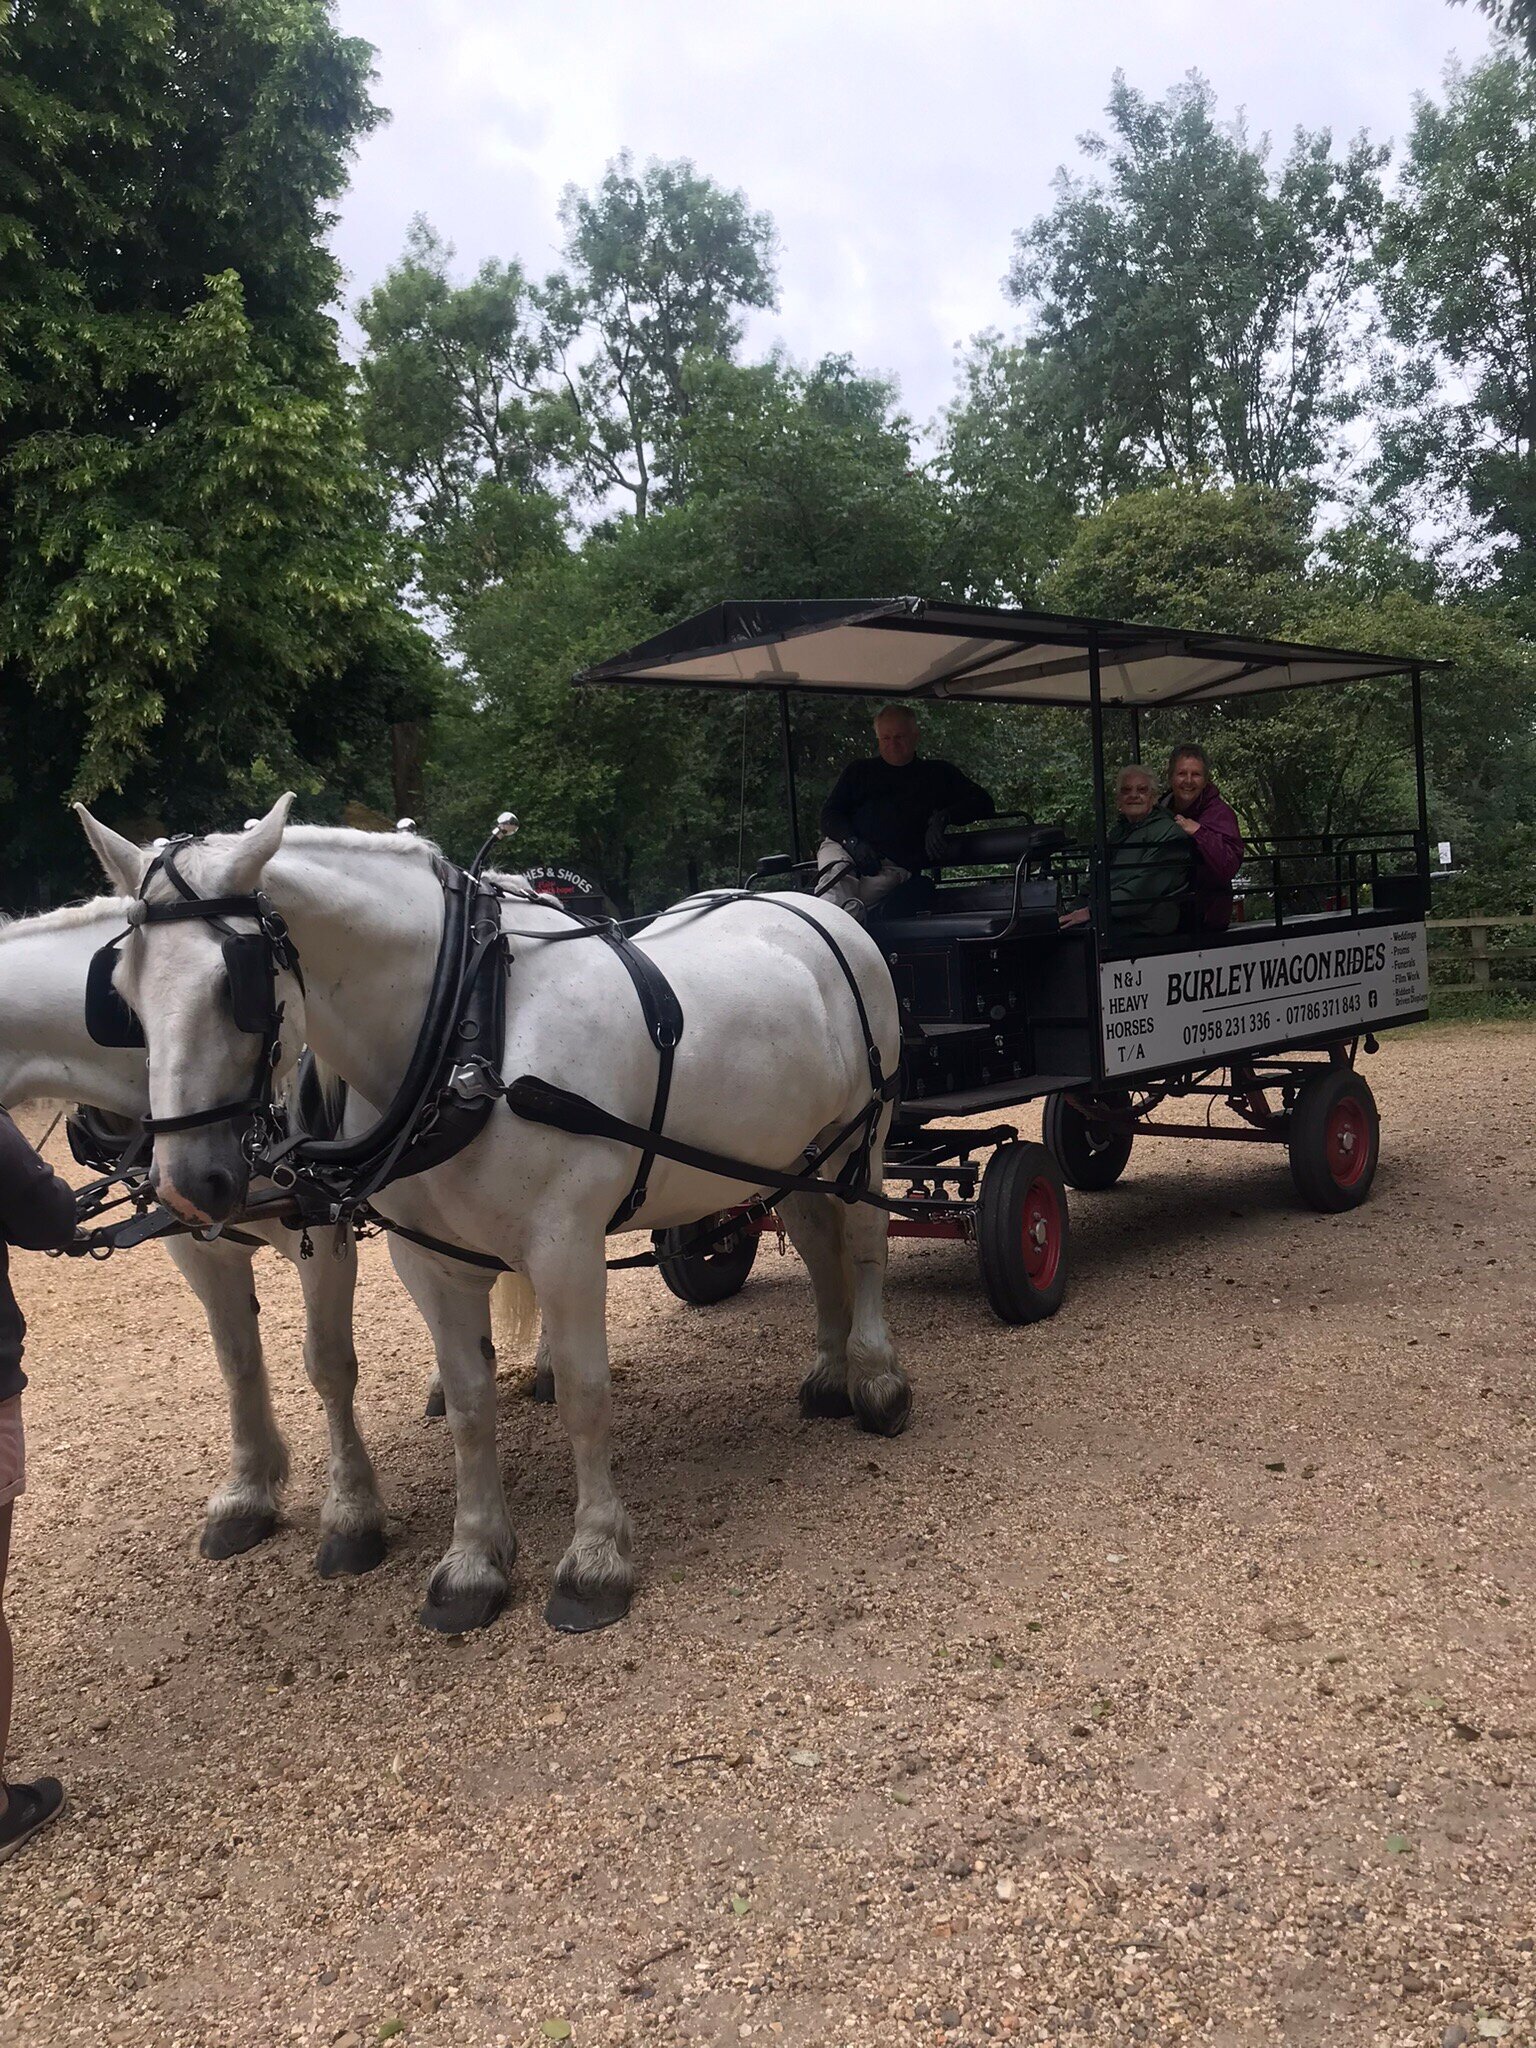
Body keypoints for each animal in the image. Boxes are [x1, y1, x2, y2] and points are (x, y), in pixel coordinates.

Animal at [0, 897, 536, 1564]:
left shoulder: (322, 1239)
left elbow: (328, 1364)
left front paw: (352, 1514)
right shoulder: (193, 1243)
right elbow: (236, 1359)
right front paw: (246, 1494)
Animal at [75, 794, 913, 1630]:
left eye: (235, 985)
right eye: (120, 991)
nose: (188, 1182)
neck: (471, 1030)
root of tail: (813, 908)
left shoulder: (566, 1247)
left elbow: (583, 1390)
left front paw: (595, 1560)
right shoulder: (430, 1261)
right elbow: (471, 1405)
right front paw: (473, 1562)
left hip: (862, 1138)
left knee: (865, 1241)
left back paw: (875, 1378)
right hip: (793, 1155)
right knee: (816, 1242)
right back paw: (828, 1372)